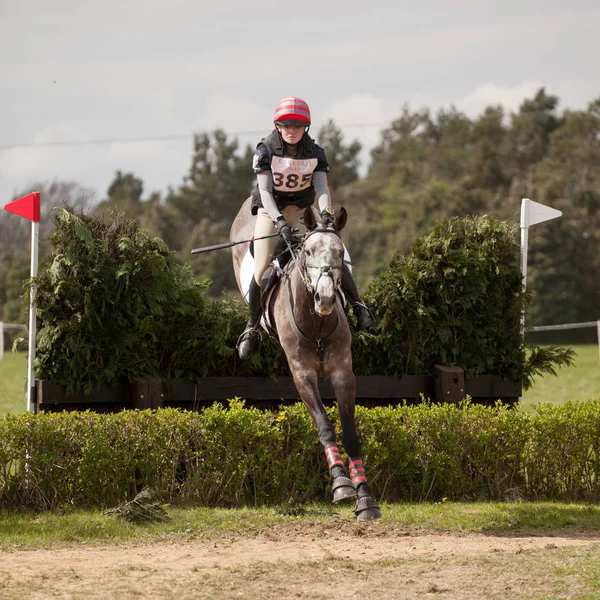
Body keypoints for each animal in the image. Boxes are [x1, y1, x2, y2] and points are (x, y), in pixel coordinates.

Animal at [230, 197, 380, 520]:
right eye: (308, 252)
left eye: (339, 253)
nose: (325, 298)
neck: (317, 325)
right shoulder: (303, 375)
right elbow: (325, 425)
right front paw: (341, 485)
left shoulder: (342, 373)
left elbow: (349, 432)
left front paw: (365, 498)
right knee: (255, 282)